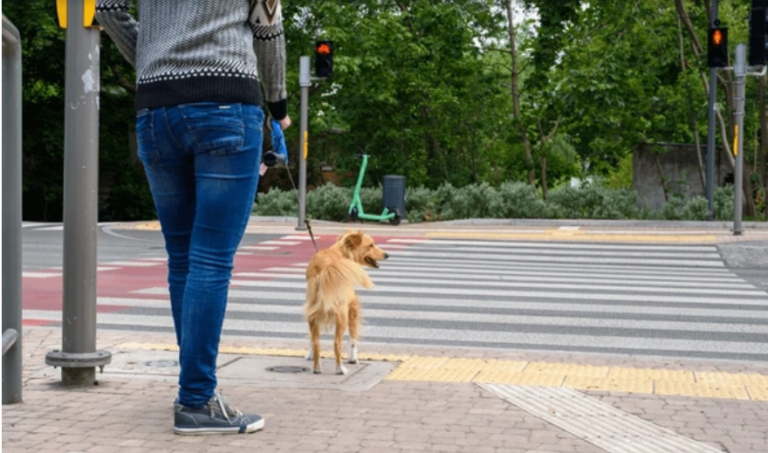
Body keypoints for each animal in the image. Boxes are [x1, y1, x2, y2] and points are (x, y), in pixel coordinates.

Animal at [304, 230, 390, 374]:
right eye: (371, 245)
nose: (388, 255)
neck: (342, 253)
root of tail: (326, 267)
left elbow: (311, 339)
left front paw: (310, 355)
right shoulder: (353, 306)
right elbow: (353, 338)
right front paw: (353, 359)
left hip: (312, 313)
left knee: (316, 341)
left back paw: (317, 368)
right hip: (341, 315)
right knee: (336, 343)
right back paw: (340, 369)